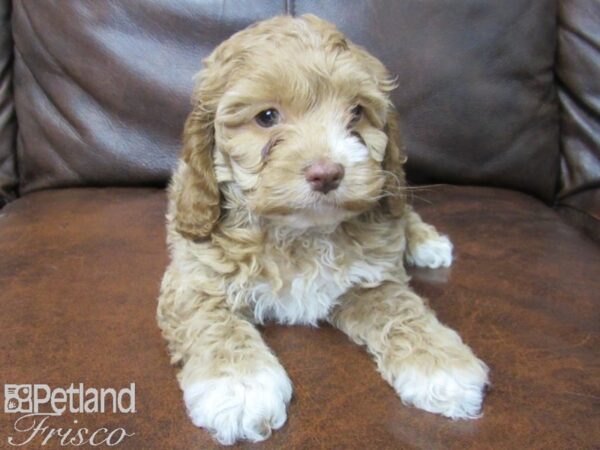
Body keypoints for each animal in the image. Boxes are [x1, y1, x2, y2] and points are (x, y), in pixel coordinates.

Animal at [157, 14, 490, 446]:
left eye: (356, 112)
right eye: (267, 117)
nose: (327, 173)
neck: (299, 234)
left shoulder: (372, 279)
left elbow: (403, 310)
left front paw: (440, 364)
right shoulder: (194, 281)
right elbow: (214, 324)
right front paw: (240, 389)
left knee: (401, 207)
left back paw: (426, 242)